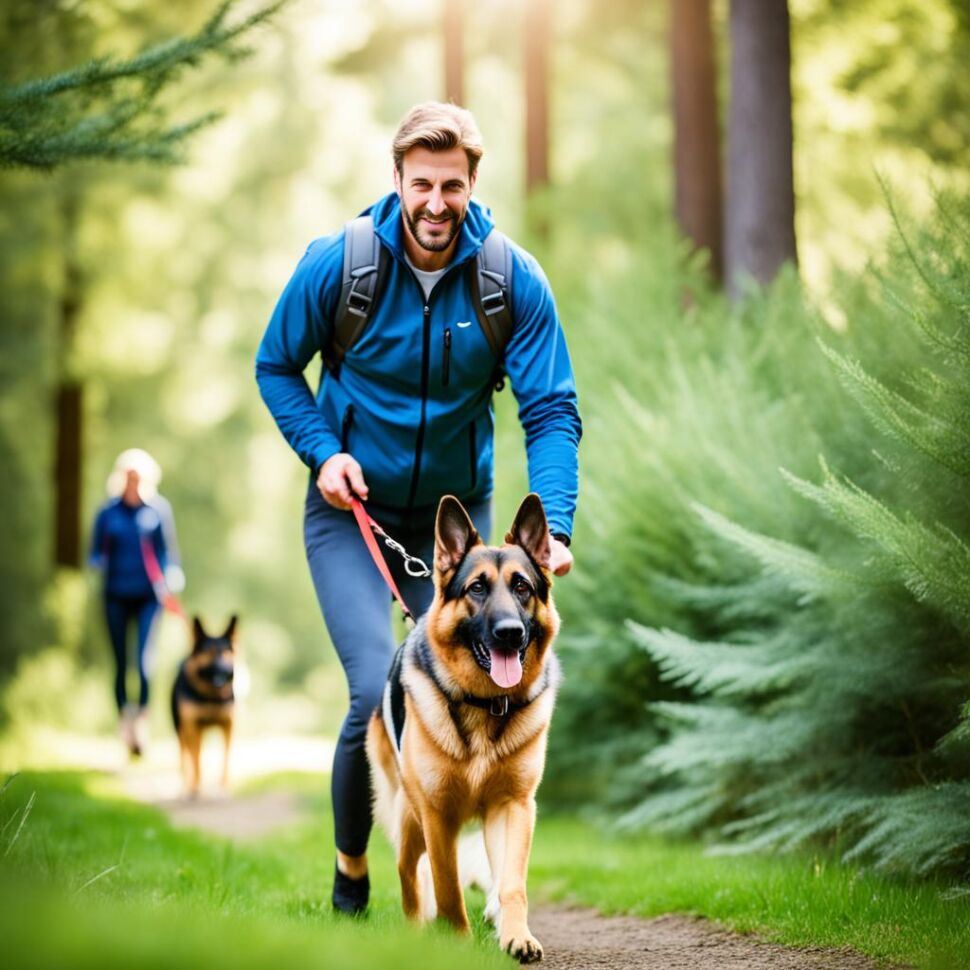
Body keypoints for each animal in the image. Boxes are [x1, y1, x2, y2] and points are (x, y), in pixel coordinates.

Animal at [171, 616, 237, 796]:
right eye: (209, 652)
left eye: (227, 652)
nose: (224, 670)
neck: (211, 696)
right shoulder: (192, 725)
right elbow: (195, 758)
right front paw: (194, 787)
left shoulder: (228, 723)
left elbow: (227, 754)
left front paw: (225, 783)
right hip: (181, 729)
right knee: (185, 756)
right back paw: (187, 784)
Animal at [364, 496, 560, 964]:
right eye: (476, 588)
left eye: (522, 587)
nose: (510, 633)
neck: (485, 704)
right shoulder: (437, 815)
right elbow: (447, 885)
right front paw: (455, 943)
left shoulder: (513, 806)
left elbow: (512, 883)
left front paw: (516, 935)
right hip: (409, 821)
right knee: (409, 875)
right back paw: (416, 933)